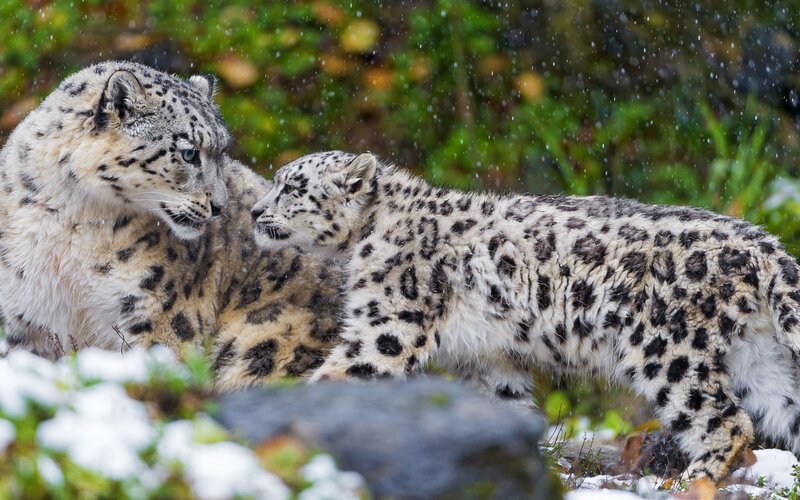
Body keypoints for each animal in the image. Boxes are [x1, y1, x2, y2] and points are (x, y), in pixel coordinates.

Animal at [0, 61, 343, 391]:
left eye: (221, 152)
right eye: (189, 153)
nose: (220, 206)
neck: (71, 223)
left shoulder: (159, 314)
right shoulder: (23, 316)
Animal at [251, 149, 800, 483]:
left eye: (292, 187)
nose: (256, 211)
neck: (362, 241)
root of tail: (764, 241)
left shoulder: (386, 327)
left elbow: (337, 376)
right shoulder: (490, 359)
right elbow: (508, 410)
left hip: (669, 351)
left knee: (726, 422)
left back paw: (689, 483)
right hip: (759, 359)